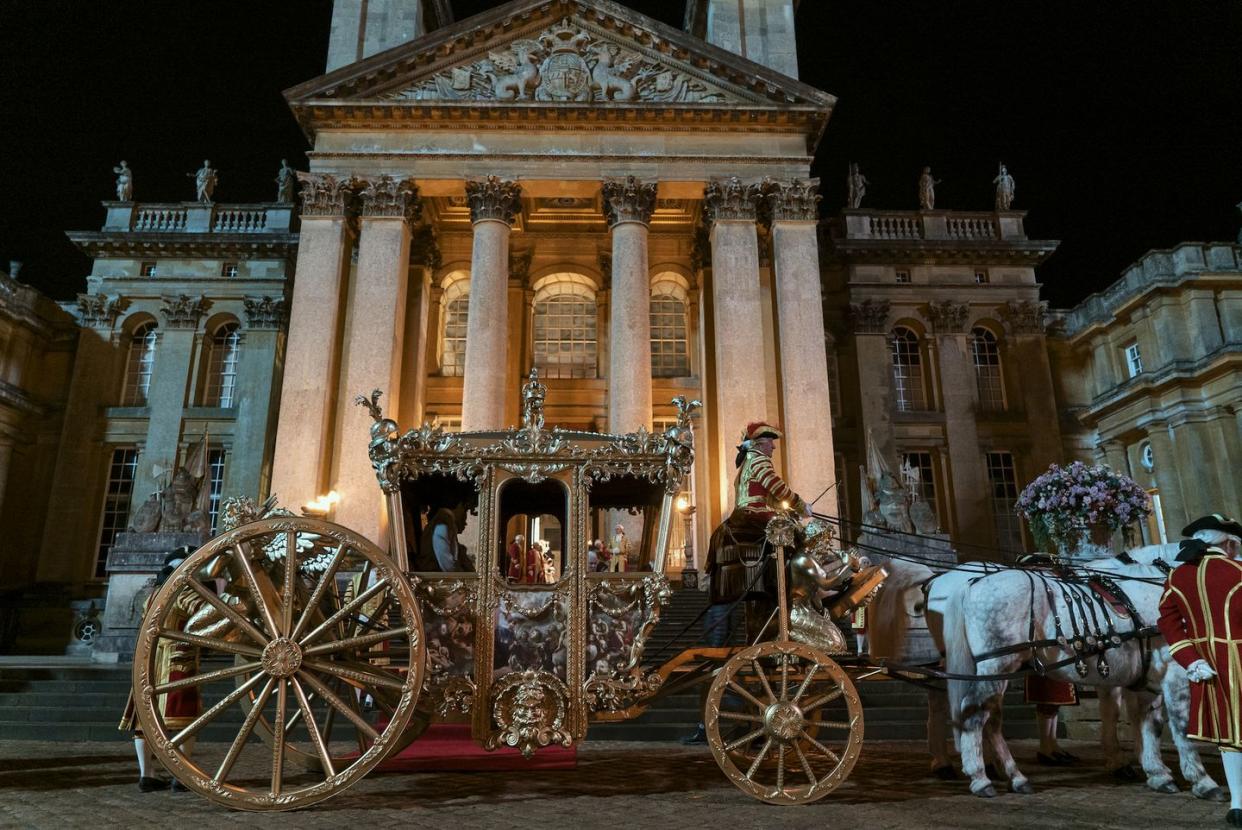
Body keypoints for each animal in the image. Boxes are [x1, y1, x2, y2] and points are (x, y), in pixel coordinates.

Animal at [864, 544, 1222, 795]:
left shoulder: (1142, 675)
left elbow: (1148, 722)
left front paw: (1154, 770)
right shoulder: (1164, 670)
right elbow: (1172, 722)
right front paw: (1198, 779)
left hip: (990, 665)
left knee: (981, 714)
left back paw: (1001, 772)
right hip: (994, 663)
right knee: (972, 712)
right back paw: (978, 775)